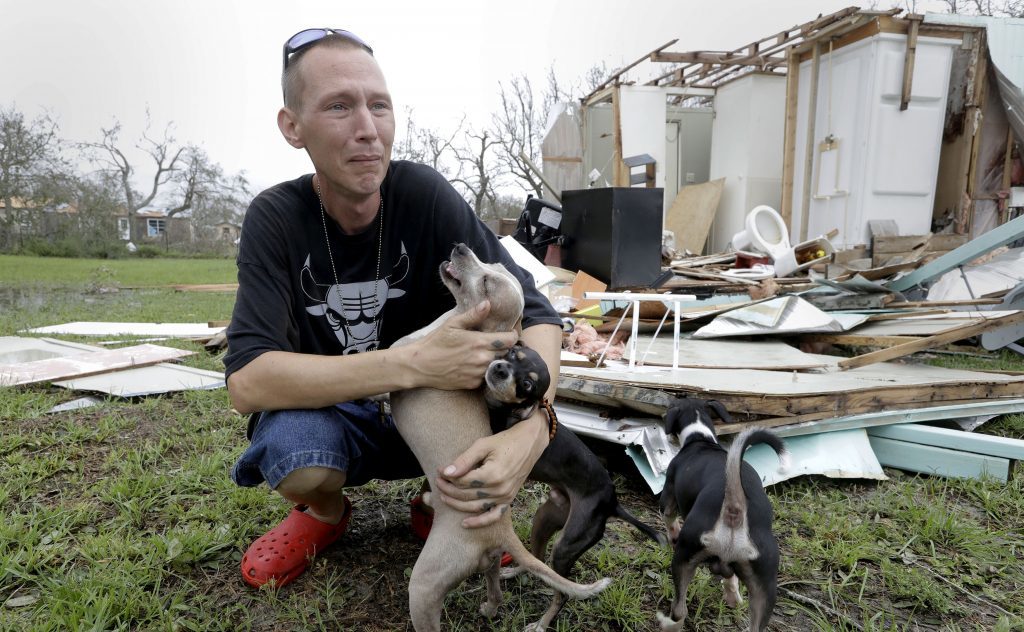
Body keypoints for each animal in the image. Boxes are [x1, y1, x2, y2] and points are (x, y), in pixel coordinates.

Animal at [389, 243, 606, 630]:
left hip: (425, 587)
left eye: (488, 282)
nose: (461, 246)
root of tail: (501, 528)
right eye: (490, 261)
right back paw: (491, 606)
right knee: (495, 584)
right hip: (489, 559)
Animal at [485, 344, 663, 630]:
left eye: (526, 385)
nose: (500, 369)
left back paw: (542, 623)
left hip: (565, 546)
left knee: (563, 593)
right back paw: (513, 572)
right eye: (513, 354)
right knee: (537, 559)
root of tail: (612, 503)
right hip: (543, 520)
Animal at [659, 399, 786, 630]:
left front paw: (672, 535)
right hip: (765, 584)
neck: (700, 436)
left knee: (680, 609)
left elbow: (669, 519)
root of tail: (734, 509)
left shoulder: (668, 496)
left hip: (683, 556)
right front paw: (733, 596)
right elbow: (730, 579)